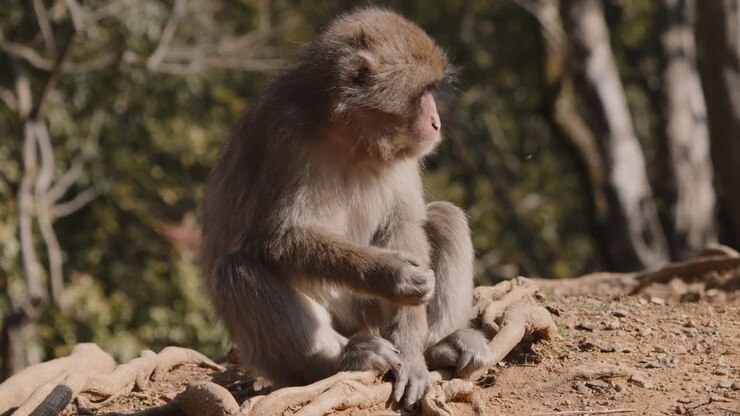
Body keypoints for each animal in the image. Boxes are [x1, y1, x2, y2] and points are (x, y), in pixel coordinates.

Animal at [201, 8, 493, 408]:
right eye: (422, 94)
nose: (436, 123)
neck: (350, 137)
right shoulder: (285, 140)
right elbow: (277, 238)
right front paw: (393, 275)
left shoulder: (402, 158)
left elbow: (404, 225)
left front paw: (412, 356)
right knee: (235, 271)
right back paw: (345, 358)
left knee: (445, 217)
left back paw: (438, 347)